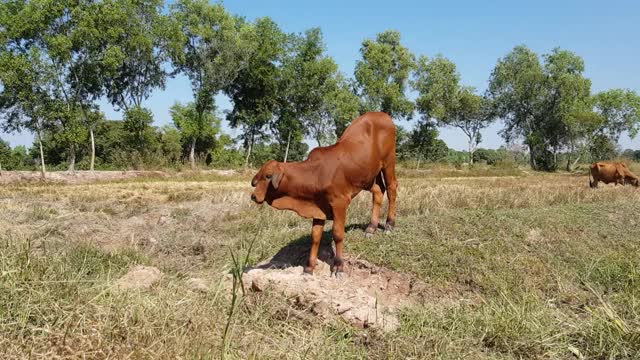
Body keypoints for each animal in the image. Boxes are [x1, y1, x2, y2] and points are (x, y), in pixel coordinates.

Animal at [249, 112, 396, 276]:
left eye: (268, 176)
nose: (254, 196)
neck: (316, 173)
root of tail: (382, 114)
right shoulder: (318, 208)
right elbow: (315, 236)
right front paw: (309, 267)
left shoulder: (340, 203)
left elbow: (338, 234)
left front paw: (338, 265)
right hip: (369, 176)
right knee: (378, 191)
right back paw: (371, 227)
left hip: (389, 161)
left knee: (391, 188)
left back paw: (389, 224)